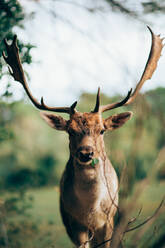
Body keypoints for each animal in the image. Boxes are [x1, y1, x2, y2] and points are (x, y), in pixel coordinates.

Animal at [1, 26, 163, 247]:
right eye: (70, 130)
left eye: (102, 130)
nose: (86, 153)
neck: (91, 212)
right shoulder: (75, 224)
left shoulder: (108, 221)